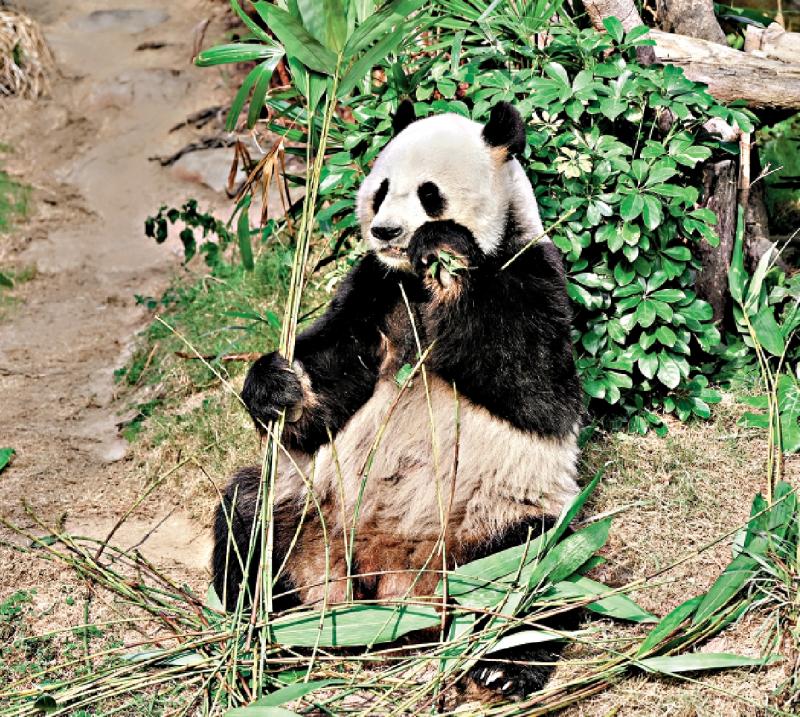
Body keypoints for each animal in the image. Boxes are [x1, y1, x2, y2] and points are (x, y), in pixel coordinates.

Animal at [214, 100, 580, 700]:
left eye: (430, 194)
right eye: (382, 189)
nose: (385, 230)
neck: (415, 281)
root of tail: (390, 582)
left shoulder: (530, 268)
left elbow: (537, 389)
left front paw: (447, 251)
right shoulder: (375, 288)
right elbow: (332, 374)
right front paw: (277, 388)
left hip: (494, 516)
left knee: (533, 568)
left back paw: (504, 665)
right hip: (310, 507)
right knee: (250, 522)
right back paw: (268, 632)